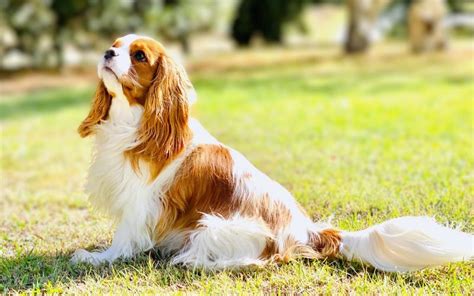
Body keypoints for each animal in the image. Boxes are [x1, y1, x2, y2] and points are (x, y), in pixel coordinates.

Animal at [71, 34, 474, 270]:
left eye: (138, 56)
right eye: (116, 44)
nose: (107, 52)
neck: (133, 120)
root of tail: (310, 231)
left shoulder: (140, 202)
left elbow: (124, 238)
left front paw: (96, 258)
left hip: (215, 227)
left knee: (258, 260)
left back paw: (191, 261)